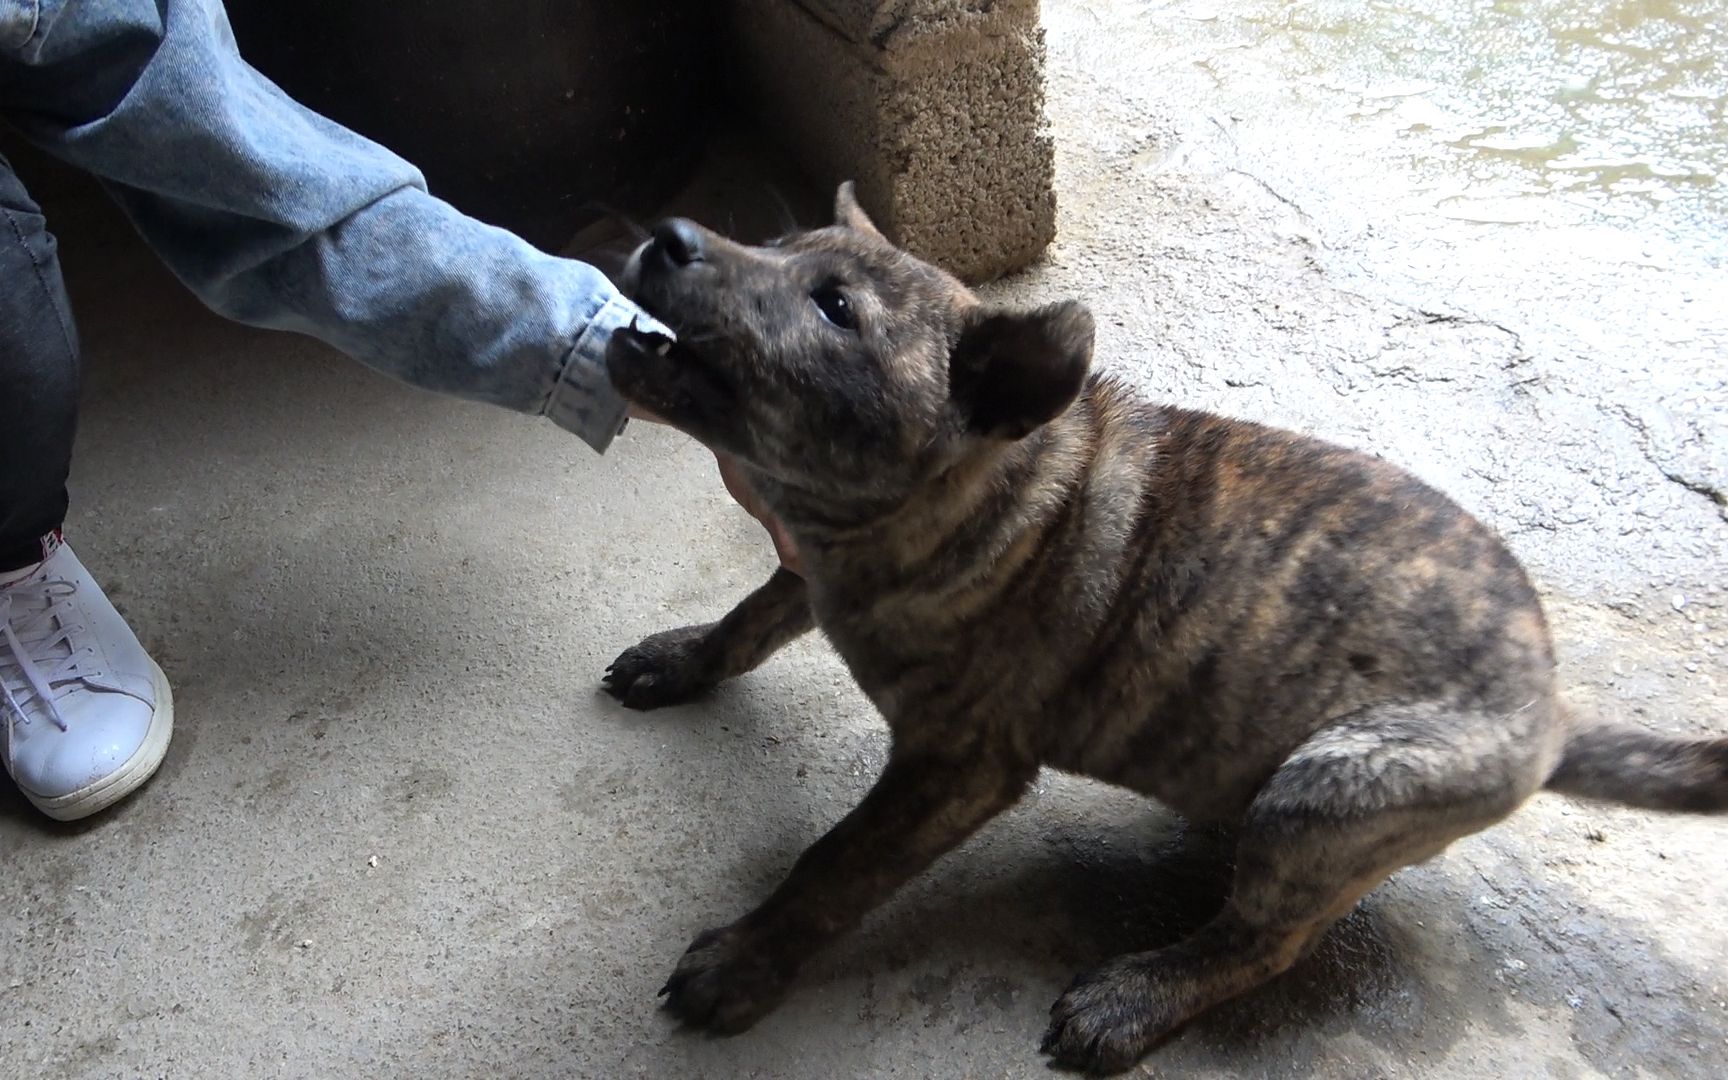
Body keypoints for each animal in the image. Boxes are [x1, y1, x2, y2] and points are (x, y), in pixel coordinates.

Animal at [597, 184, 1728, 1071]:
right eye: (778, 244)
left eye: (835, 309)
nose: (669, 234)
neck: (984, 500)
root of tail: (1550, 715)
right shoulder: (810, 562)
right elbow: (750, 617)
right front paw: (678, 660)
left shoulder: (955, 767)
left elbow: (836, 864)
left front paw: (746, 962)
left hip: (1328, 794)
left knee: (1265, 940)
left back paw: (1136, 998)